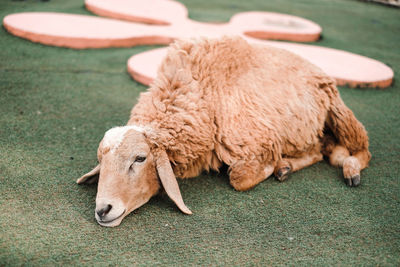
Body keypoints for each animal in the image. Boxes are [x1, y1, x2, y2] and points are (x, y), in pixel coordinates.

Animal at [77, 36, 372, 228]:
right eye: (102, 161)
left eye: (140, 159)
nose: (103, 209)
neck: (202, 91)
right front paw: (281, 165)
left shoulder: (257, 141)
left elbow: (239, 178)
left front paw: (273, 165)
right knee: (321, 148)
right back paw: (293, 165)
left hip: (341, 114)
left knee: (361, 151)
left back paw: (347, 169)